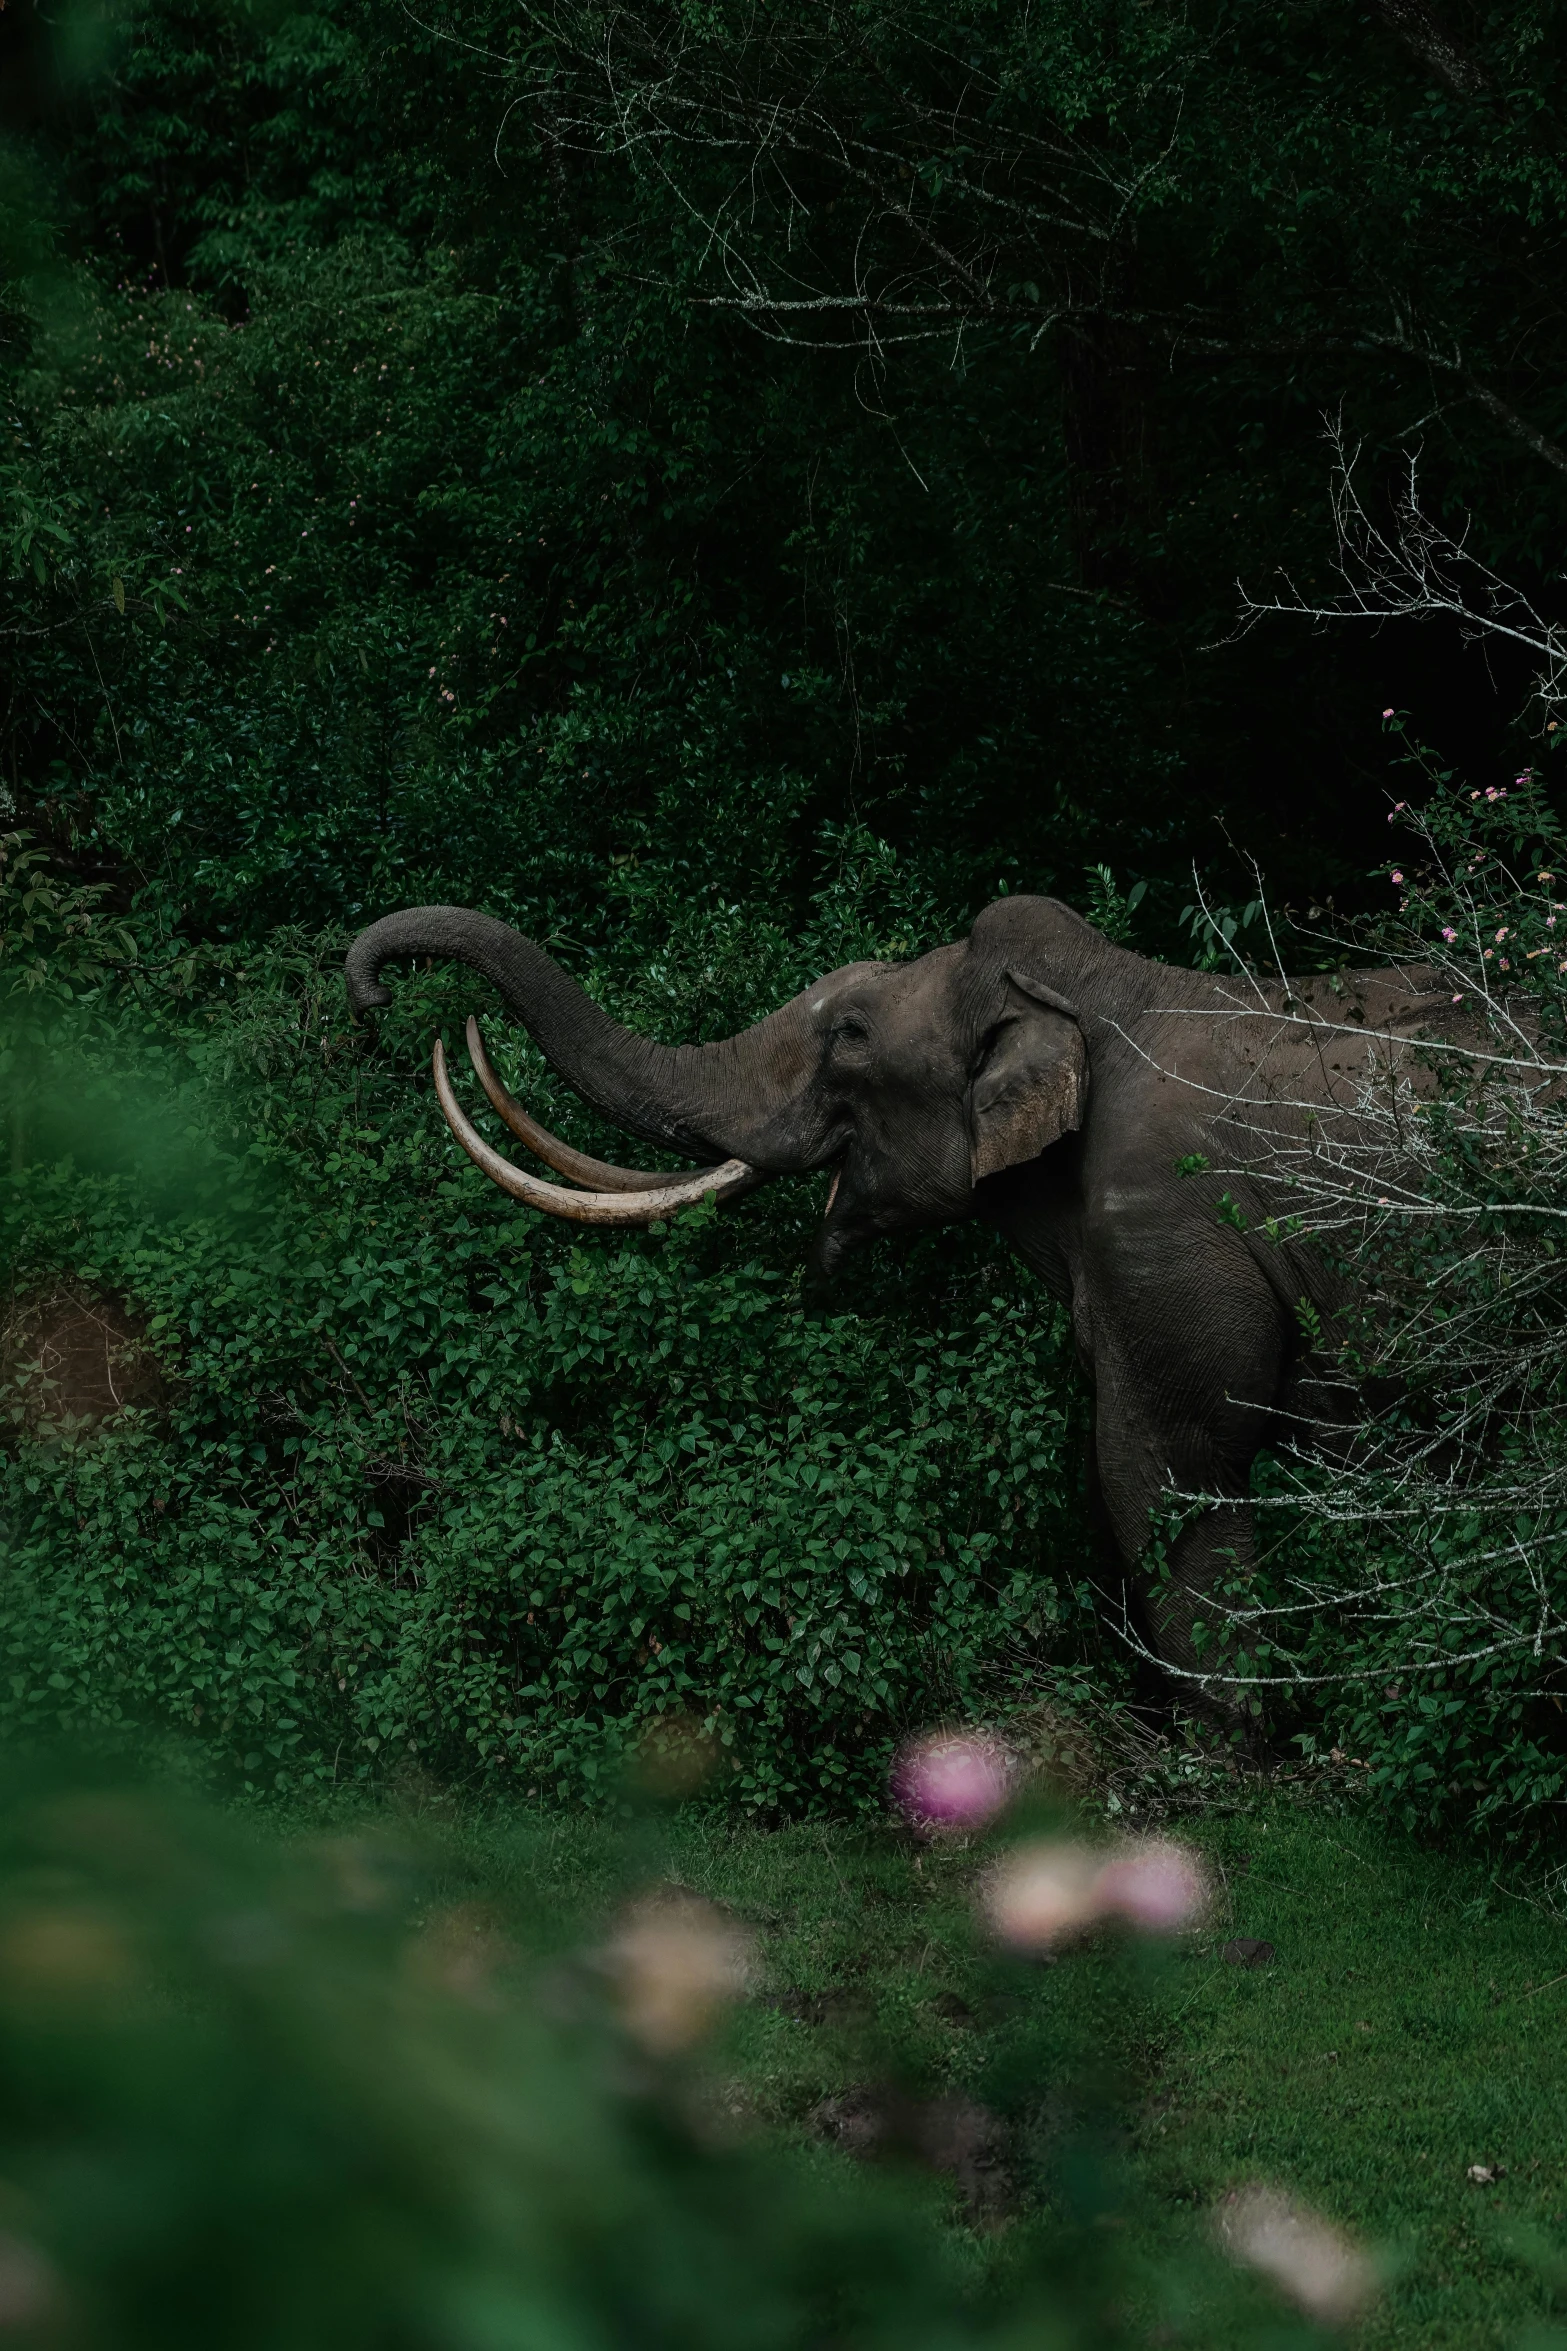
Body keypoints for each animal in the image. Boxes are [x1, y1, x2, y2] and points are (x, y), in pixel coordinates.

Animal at [345, 888, 1456, 1702]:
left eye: (847, 1034)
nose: (375, 994)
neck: (1103, 983)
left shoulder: (1167, 1223)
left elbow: (1172, 1472)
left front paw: (1231, 1762)